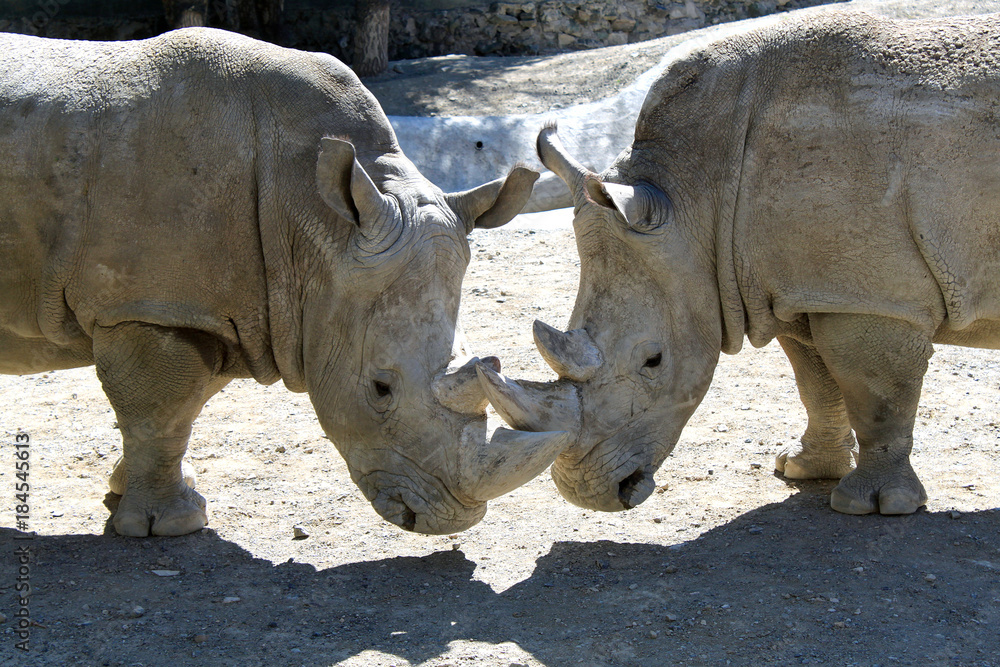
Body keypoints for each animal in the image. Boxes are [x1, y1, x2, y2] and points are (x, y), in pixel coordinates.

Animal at [0, 27, 570, 537]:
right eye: (380, 388)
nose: (450, 520)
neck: (314, 222)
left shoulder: (229, 307)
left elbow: (184, 405)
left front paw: (128, 495)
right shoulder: (147, 303)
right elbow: (160, 410)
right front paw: (168, 526)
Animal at [477, 9, 1000, 515]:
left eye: (653, 361)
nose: (586, 494)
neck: (697, 195)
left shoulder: (870, 295)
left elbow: (877, 394)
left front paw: (873, 505)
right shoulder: (801, 285)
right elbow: (817, 382)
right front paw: (803, 469)